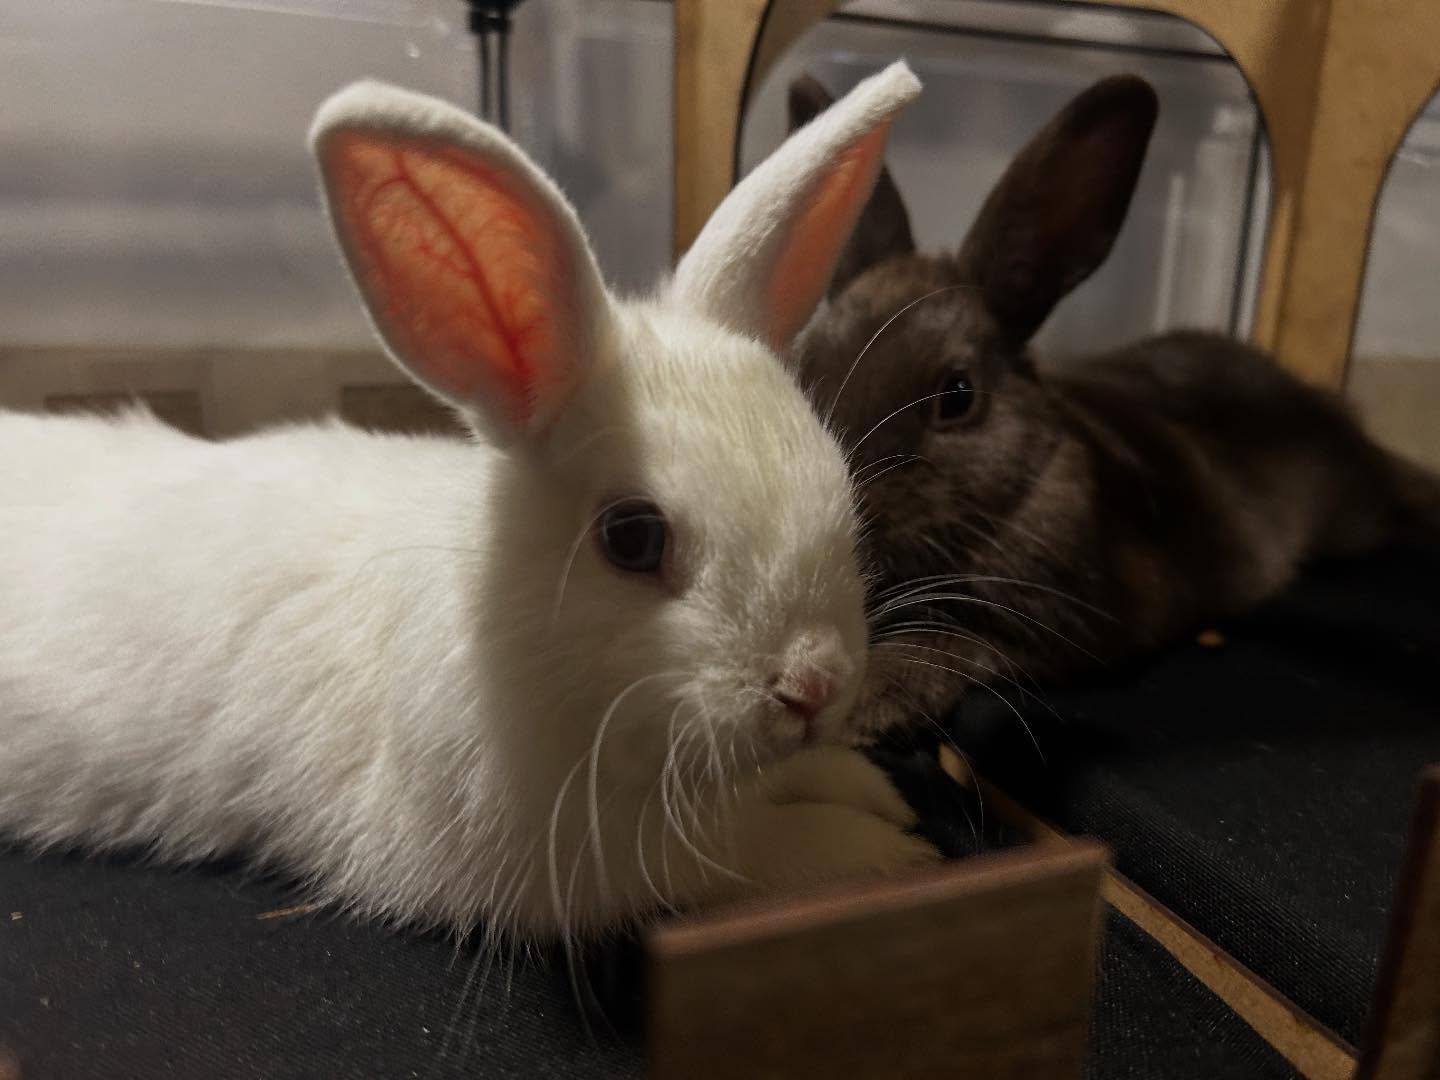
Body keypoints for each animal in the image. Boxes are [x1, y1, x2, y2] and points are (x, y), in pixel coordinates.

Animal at [0, 63, 940, 945]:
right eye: (632, 537)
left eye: (837, 486)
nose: (814, 684)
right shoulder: (604, 861)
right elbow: (761, 850)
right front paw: (895, 846)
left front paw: (878, 791)